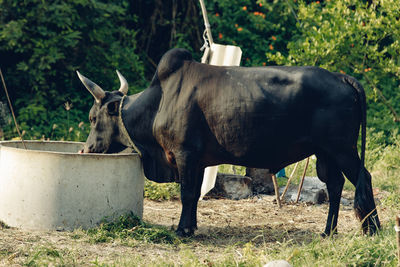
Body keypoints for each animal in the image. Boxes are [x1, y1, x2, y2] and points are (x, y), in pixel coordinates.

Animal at [78, 47, 382, 237]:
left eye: (93, 118)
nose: (85, 149)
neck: (159, 102)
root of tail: (341, 76)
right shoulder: (199, 161)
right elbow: (194, 196)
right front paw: (192, 227)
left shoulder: (185, 154)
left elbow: (186, 193)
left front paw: (181, 230)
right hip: (326, 154)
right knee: (336, 185)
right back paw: (328, 231)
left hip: (342, 149)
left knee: (363, 178)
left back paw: (373, 230)